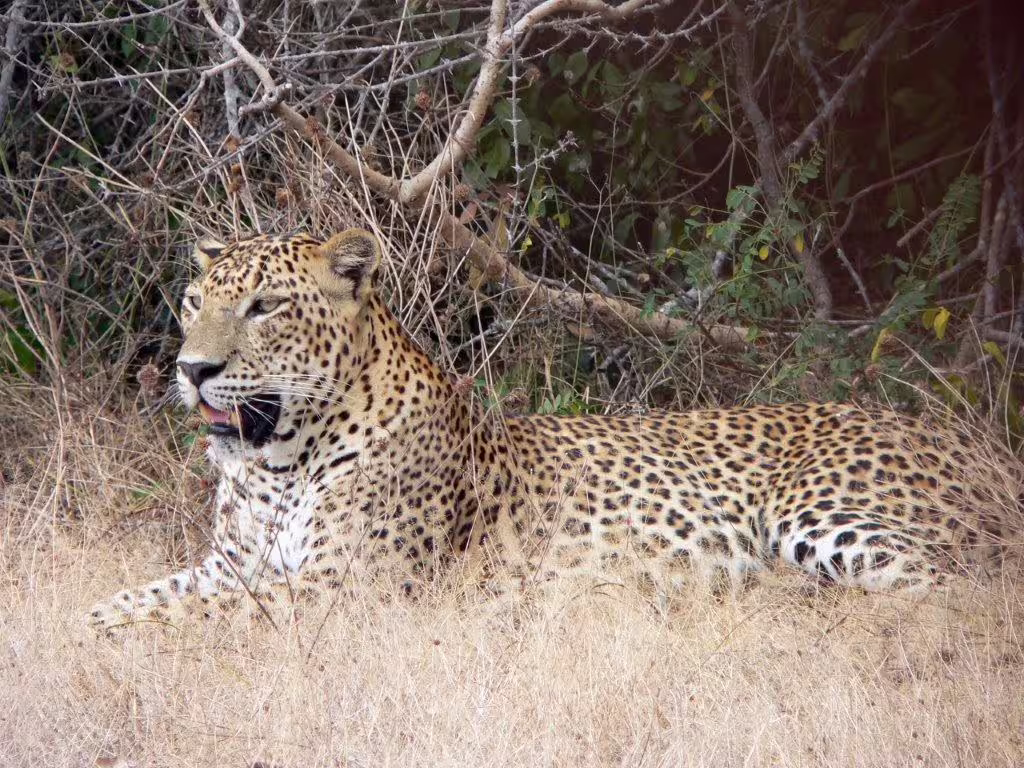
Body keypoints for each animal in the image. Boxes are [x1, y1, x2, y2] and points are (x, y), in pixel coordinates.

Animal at [87, 229, 1021, 629]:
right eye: (194, 301)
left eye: (266, 307)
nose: (191, 369)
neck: (278, 461)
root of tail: (973, 445)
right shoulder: (233, 565)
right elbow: (132, 598)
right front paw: (78, 629)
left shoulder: (346, 588)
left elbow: (176, 619)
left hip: (823, 516)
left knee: (954, 592)